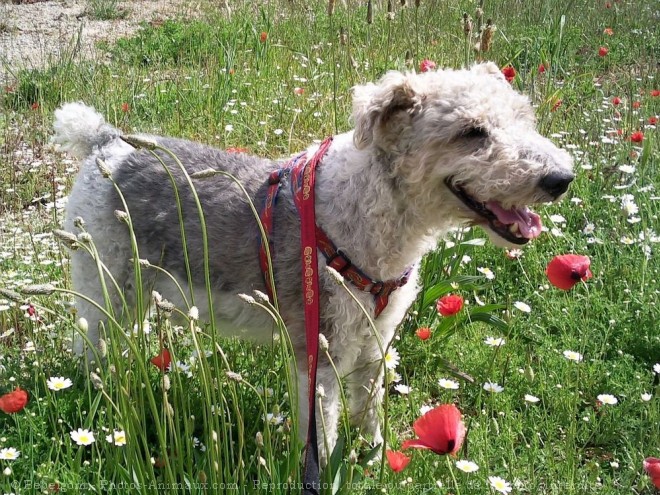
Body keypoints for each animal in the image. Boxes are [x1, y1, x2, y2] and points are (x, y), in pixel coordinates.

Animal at [54, 62, 576, 464]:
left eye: (523, 117)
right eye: (471, 132)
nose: (561, 179)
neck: (363, 210)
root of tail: (105, 142)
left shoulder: (375, 343)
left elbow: (370, 409)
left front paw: (375, 460)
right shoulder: (321, 354)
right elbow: (322, 433)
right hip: (104, 290)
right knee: (88, 350)